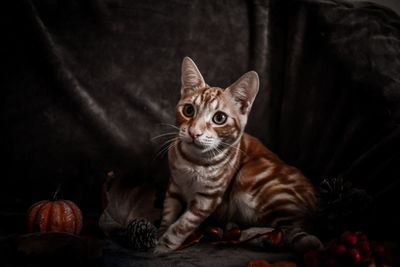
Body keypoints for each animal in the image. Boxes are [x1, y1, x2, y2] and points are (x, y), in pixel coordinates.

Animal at [155, 57, 320, 254]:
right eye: (188, 110)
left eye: (219, 118)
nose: (194, 132)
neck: (193, 162)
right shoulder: (174, 186)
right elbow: (168, 214)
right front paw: (159, 233)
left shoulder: (207, 199)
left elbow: (183, 224)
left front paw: (162, 246)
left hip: (251, 175)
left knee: (292, 228)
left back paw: (255, 236)